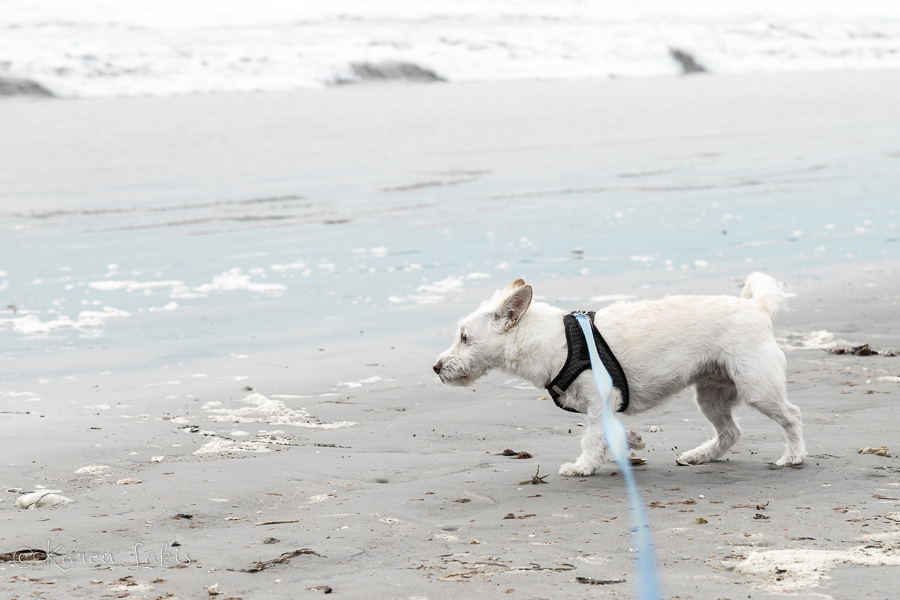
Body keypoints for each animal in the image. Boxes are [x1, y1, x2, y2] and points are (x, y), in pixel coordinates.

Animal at [432, 274, 804, 476]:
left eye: (464, 338)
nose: (436, 367)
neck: (557, 340)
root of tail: (757, 307)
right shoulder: (602, 408)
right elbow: (610, 432)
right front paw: (634, 440)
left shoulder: (600, 402)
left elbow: (592, 437)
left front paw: (582, 466)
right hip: (710, 393)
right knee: (730, 431)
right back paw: (700, 455)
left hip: (757, 386)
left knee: (792, 416)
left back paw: (794, 456)